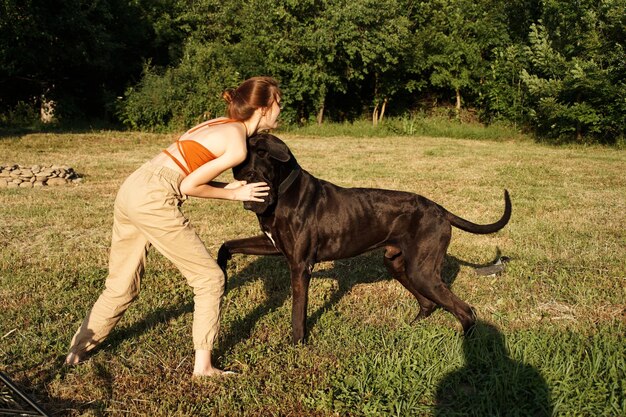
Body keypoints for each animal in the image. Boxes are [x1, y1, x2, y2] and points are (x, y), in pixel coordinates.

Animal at [217, 135, 510, 342]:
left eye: (254, 175)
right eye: (238, 178)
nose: (249, 204)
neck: (284, 192)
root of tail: (440, 209)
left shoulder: (300, 265)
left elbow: (298, 312)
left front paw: (296, 344)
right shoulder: (275, 246)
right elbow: (227, 245)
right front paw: (221, 272)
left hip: (422, 272)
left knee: (465, 310)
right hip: (399, 265)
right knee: (428, 303)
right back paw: (409, 329)